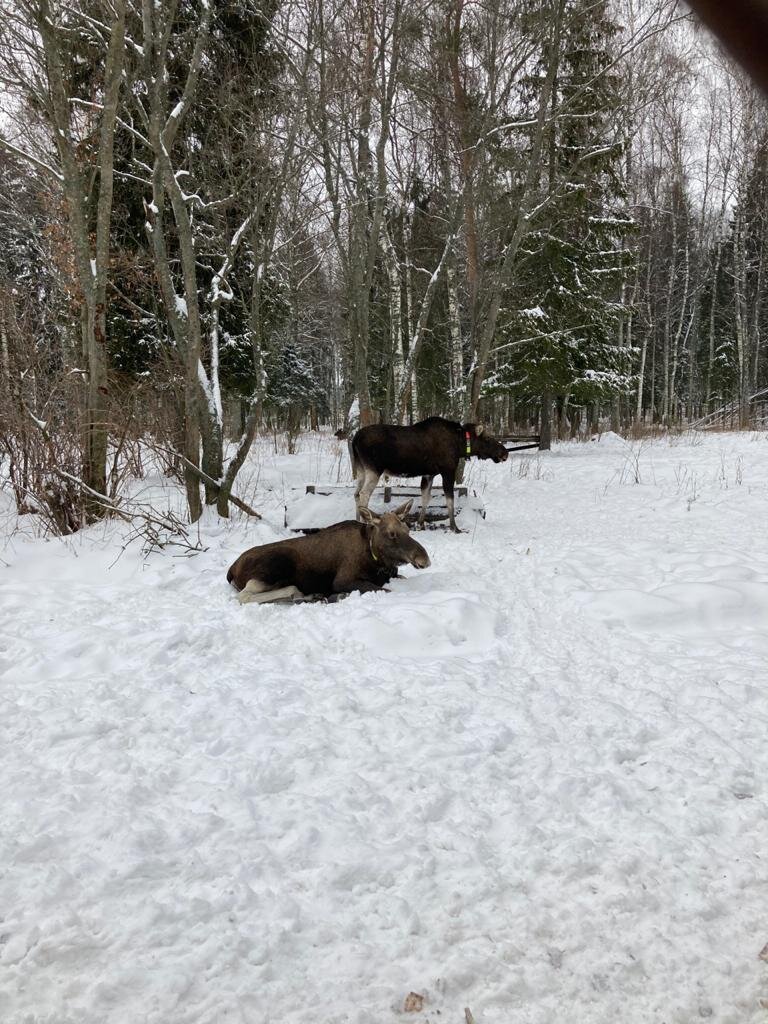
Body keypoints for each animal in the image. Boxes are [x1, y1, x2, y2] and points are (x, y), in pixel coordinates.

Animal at [228, 499, 434, 602]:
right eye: (391, 533)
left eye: (408, 529)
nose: (424, 559)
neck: (377, 560)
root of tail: (231, 570)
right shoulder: (343, 580)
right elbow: (385, 590)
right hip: (276, 566)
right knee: (244, 595)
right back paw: (305, 594)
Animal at [354, 415, 512, 532]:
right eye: (487, 438)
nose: (505, 452)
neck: (460, 445)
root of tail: (354, 439)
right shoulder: (447, 470)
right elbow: (450, 499)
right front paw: (455, 527)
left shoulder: (429, 474)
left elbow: (426, 497)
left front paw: (420, 524)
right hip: (374, 470)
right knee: (364, 494)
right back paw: (365, 523)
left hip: (361, 470)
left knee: (356, 494)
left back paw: (356, 520)